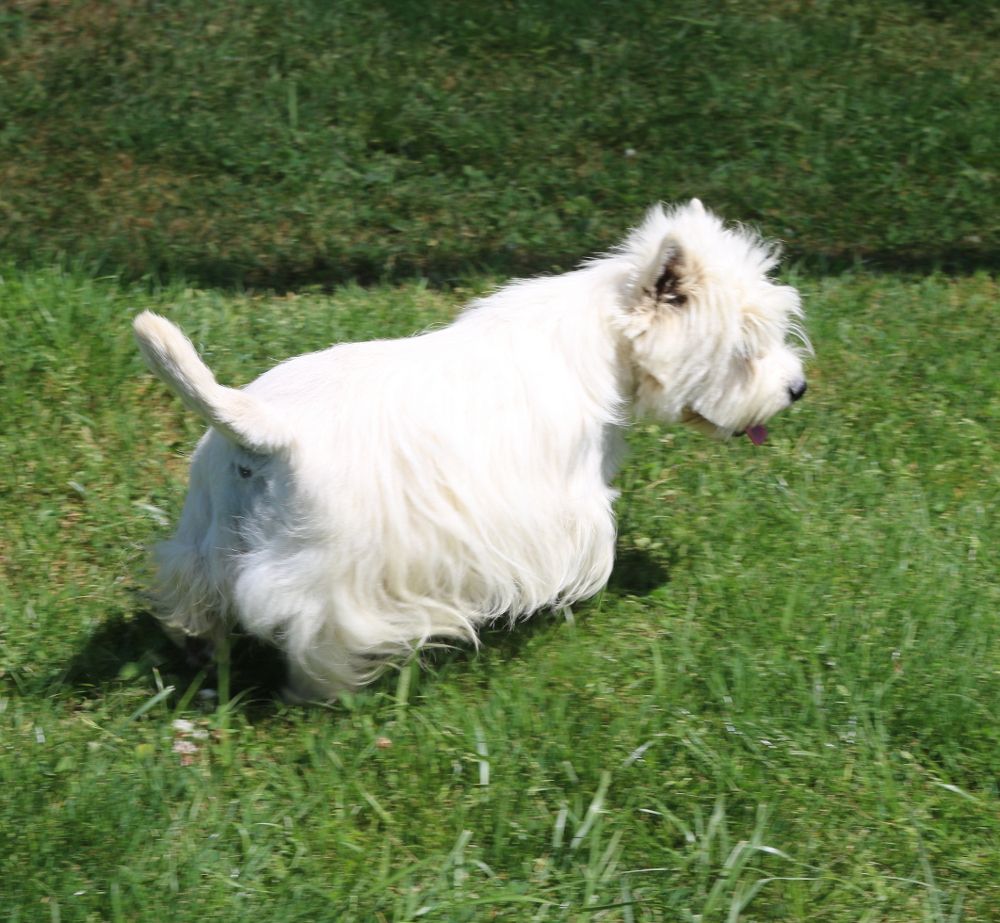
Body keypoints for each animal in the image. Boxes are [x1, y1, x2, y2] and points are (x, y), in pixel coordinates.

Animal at [135, 199, 804, 696]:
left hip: (208, 531)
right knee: (313, 636)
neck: (600, 340)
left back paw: (202, 653)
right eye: (745, 351)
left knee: (200, 599)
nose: (797, 388)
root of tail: (266, 434)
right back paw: (328, 693)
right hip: (328, 572)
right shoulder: (561, 501)